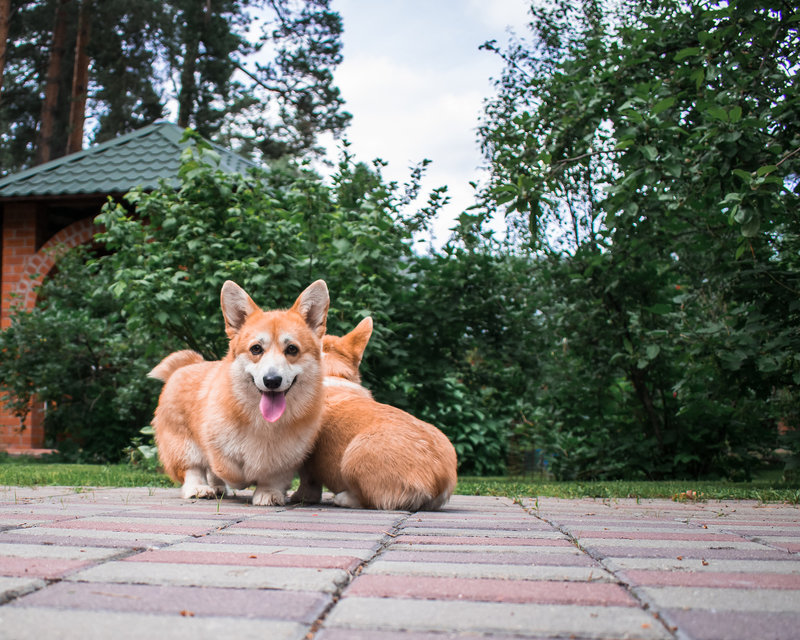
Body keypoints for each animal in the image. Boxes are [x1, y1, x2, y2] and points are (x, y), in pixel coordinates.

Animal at [150, 280, 328, 504]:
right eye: (256, 349)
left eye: (292, 349)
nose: (272, 381)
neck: (264, 423)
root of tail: (187, 365)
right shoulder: (216, 447)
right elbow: (229, 470)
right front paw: (242, 480)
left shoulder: (288, 457)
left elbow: (274, 476)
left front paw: (268, 493)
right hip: (181, 443)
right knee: (194, 469)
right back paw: (200, 489)